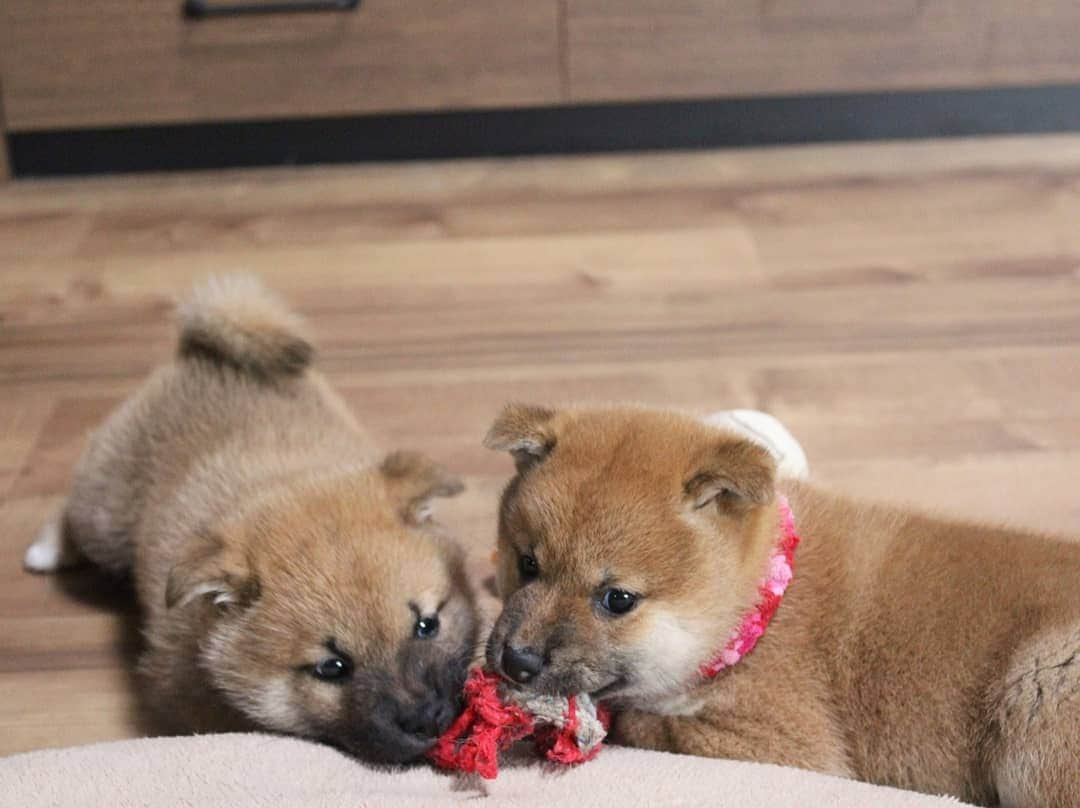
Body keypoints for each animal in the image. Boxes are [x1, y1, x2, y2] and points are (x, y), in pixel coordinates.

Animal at [23, 278, 479, 764]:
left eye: (427, 625)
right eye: (332, 667)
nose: (427, 719)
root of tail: (201, 354)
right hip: (104, 520)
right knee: (73, 512)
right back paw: (46, 549)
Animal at [483, 404, 1080, 808]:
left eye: (617, 600)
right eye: (527, 563)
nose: (516, 662)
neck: (758, 609)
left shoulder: (784, 745)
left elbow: (643, 722)